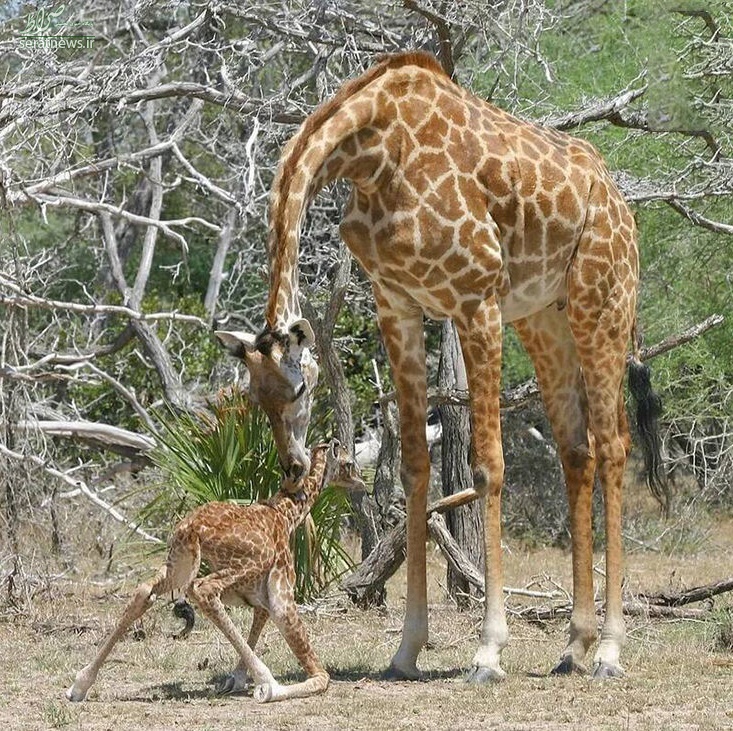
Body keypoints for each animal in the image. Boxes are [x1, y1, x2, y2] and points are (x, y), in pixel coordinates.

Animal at [67, 440, 364, 704]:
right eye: (349, 463)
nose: (360, 483)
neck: (288, 514)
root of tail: (191, 528)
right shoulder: (282, 596)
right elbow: (322, 677)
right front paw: (261, 685)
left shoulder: (259, 600)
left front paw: (236, 679)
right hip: (241, 565)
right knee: (203, 589)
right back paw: (268, 682)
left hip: (178, 564)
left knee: (144, 590)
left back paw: (78, 686)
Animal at [216, 53, 664, 688]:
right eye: (256, 399)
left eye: (301, 389)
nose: (293, 467)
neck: (374, 149)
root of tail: (620, 203)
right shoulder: (397, 305)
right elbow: (413, 470)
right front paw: (406, 649)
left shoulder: (476, 301)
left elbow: (487, 467)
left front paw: (488, 651)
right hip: (544, 319)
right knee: (576, 451)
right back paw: (573, 646)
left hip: (601, 304)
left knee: (614, 446)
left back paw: (608, 651)